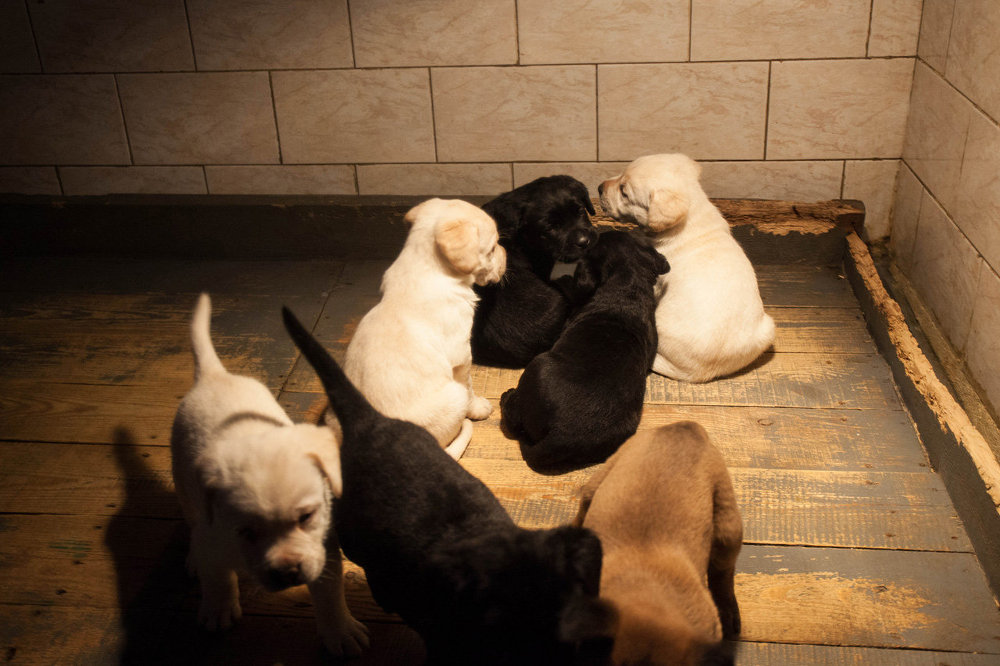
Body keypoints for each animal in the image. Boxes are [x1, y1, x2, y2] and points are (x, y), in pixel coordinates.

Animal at [169, 294, 368, 656]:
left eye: (306, 517)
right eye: (246, 531)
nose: (288, 571)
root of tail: (215, 375)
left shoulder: (322, 548)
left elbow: (329, 592)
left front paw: (340, 630)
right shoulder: (215, 534)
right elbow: (217, 577)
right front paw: (217, 609)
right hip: (184, 482)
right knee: (192, 522)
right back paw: (193, 557)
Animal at [337, 197, 505, 460]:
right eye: (493, 248)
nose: (506, 256)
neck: (426, 269)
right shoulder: (462, 356)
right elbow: (469, 386)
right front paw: (479, 408)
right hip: (453, 397)